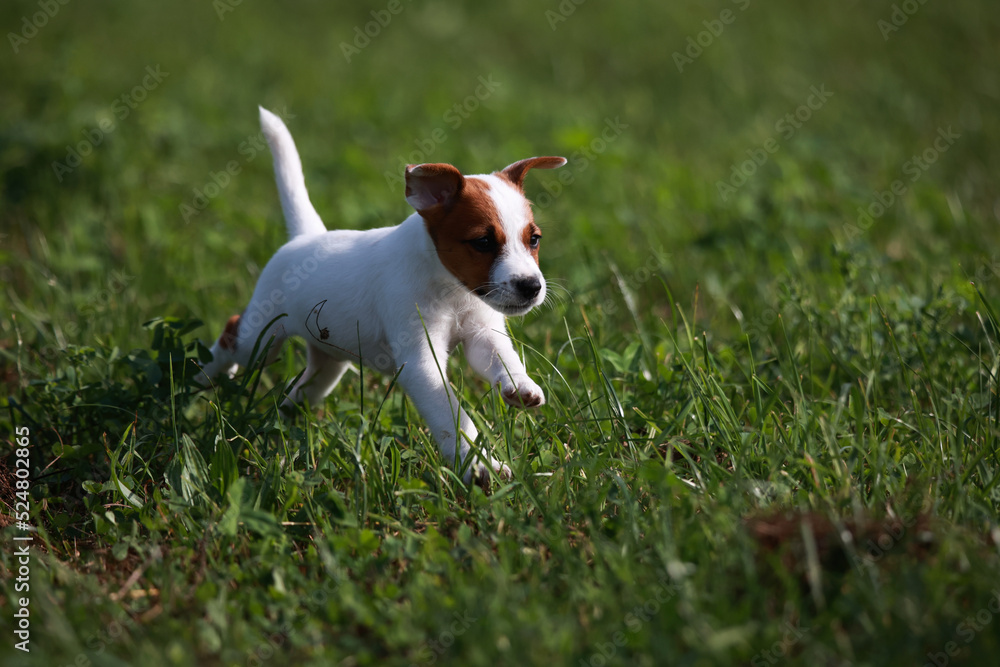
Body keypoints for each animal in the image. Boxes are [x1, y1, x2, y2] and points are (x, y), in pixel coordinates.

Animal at [199, 107, 568, 488]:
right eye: (482, 242)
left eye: (534, 239)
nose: (531, 286)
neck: (452, 290)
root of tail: (306, 237)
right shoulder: (421, 363)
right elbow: (452, 416)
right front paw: (479, 465)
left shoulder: (483, 334)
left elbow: (502, 359)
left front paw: (520, 386)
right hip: (262, 339)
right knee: (233, 335)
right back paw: (203, 377)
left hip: (328, 366)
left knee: (299, 391)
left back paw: (280, 422)